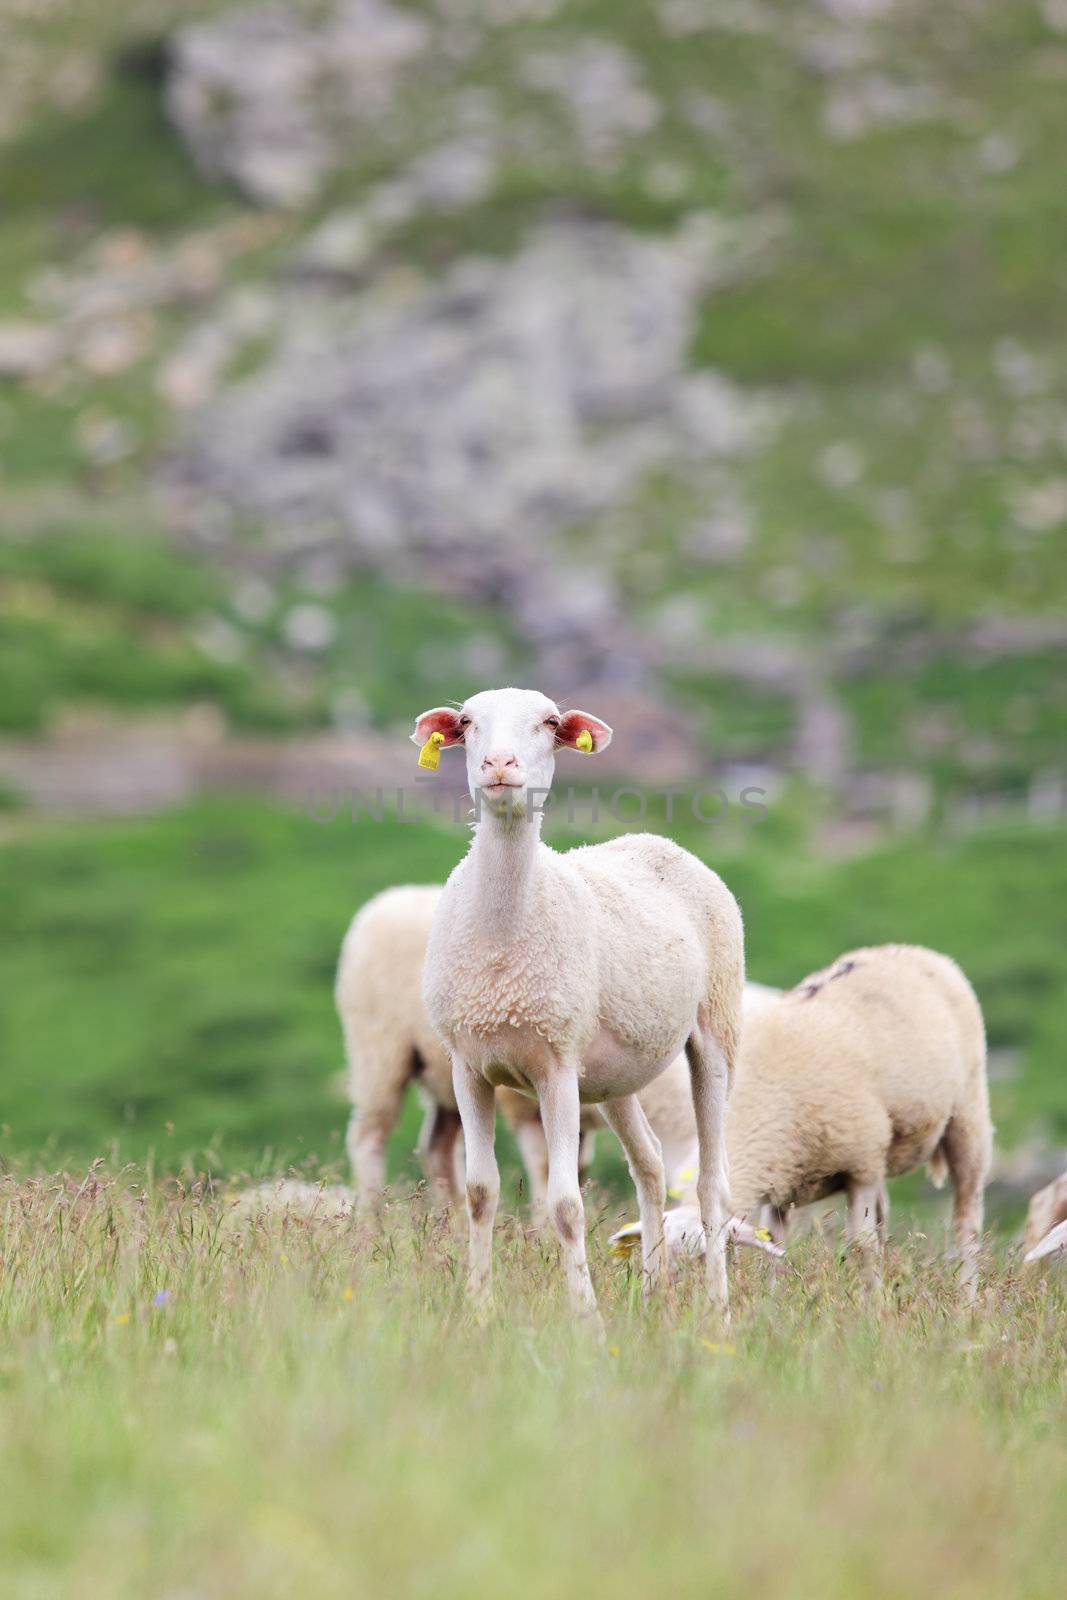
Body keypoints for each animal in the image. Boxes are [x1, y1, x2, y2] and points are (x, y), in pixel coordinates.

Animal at [335, 876, 591, 1209]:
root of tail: (383, 900)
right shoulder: (523, 1096)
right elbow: (544, 1164)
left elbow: (577, 1166)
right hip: (380, 1050)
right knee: (369, 1135)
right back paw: (371, 1215)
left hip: (444, 1073)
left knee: (437, 1146)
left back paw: (454, 1215)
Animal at [415, 688, 742, 1324]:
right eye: (466, 722)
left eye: (548, 723)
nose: (499, 765)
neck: (503, 942)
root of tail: (657, 842)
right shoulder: (467, 1065)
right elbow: (480, 1192)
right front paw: (478, 1310)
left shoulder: (556, 1067)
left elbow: (567, 1205)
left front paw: (585, 1321)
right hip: (616, 1073)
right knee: (650, 1163)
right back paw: (655, 1296)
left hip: (717, 1026)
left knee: (712, 1184)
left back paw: (718, 1312)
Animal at [614, 934, 998, 1299]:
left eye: (711, 1256)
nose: (677, 1302)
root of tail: (912, 951)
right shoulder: (782, 1186)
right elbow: (776, 1250)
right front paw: (772, 1306)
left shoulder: (861, 1165)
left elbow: (861, 1247)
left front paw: (870, 1307)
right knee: (886, 1220)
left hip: (968, 1114)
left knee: (967, 1220)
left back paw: (966, 1299)